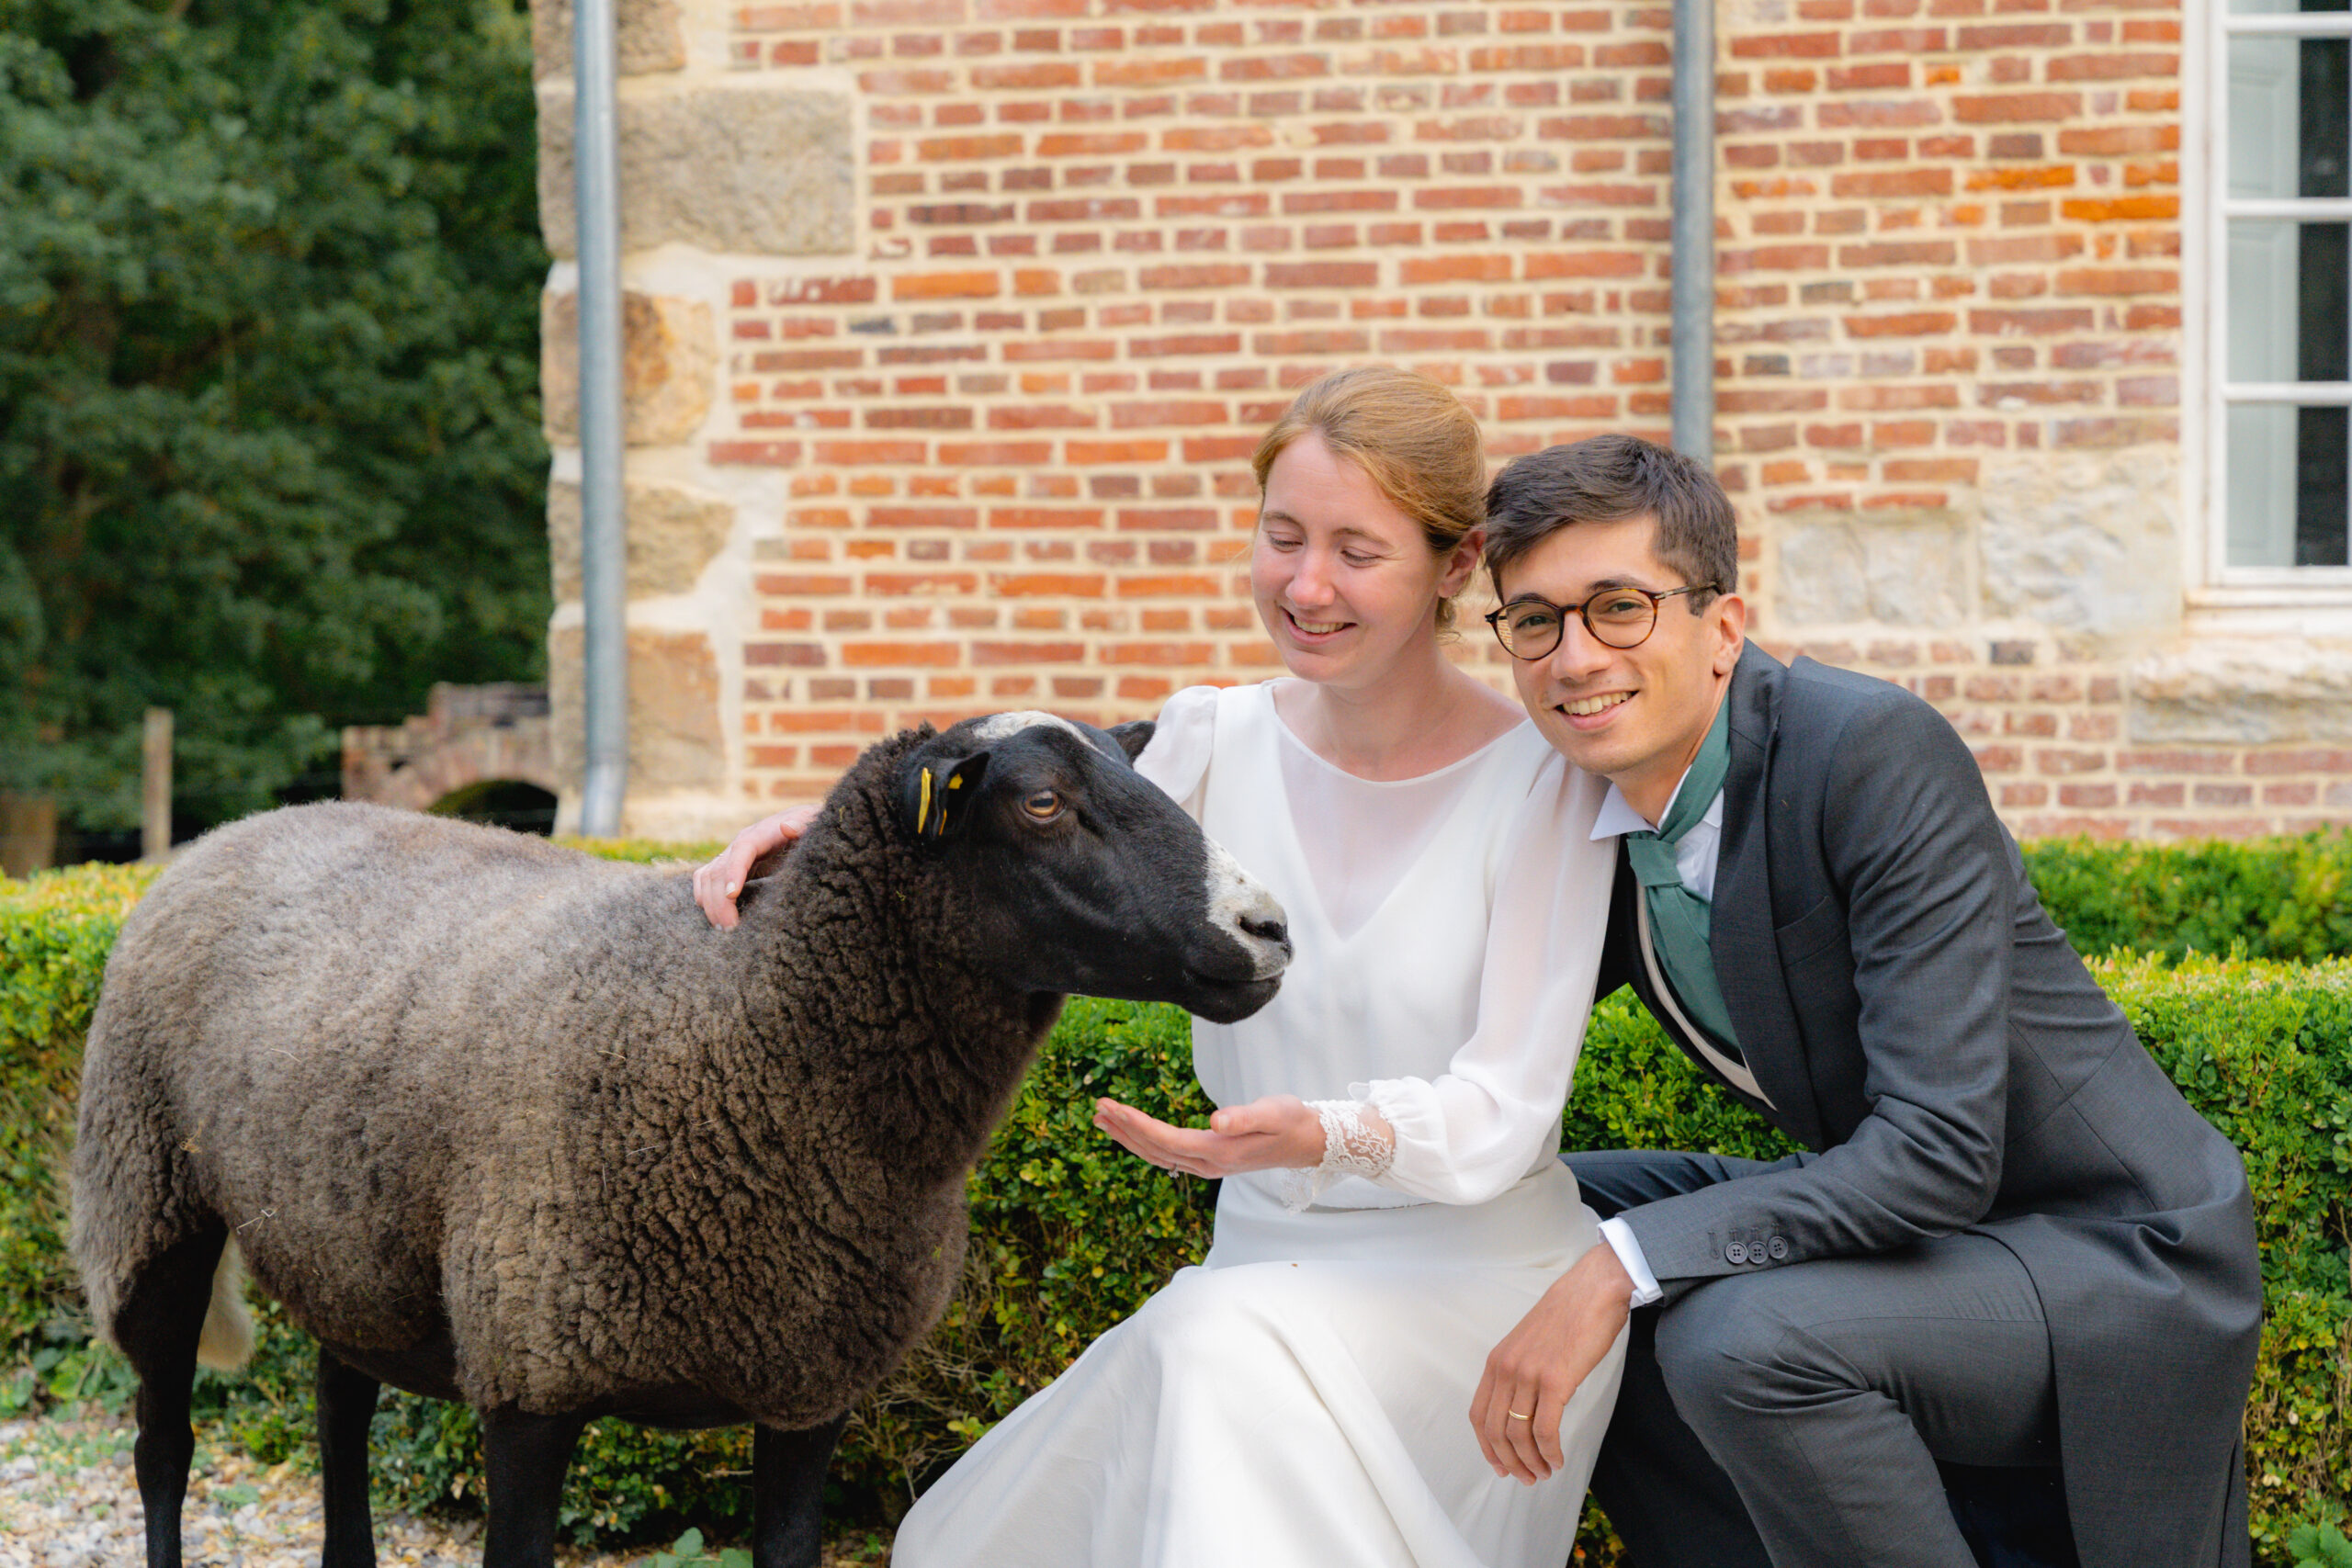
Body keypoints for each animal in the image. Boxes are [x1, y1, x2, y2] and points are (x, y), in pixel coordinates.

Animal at [70, 711, 1292, 1568]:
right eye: (1041, 805)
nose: (1270, 931)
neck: (743, 1029)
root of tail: (247, 825)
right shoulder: (531, 1370)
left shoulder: (809, 1390)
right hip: (147, 1196)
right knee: (163, 1447)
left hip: (352, 1234)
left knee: (339, 1411)